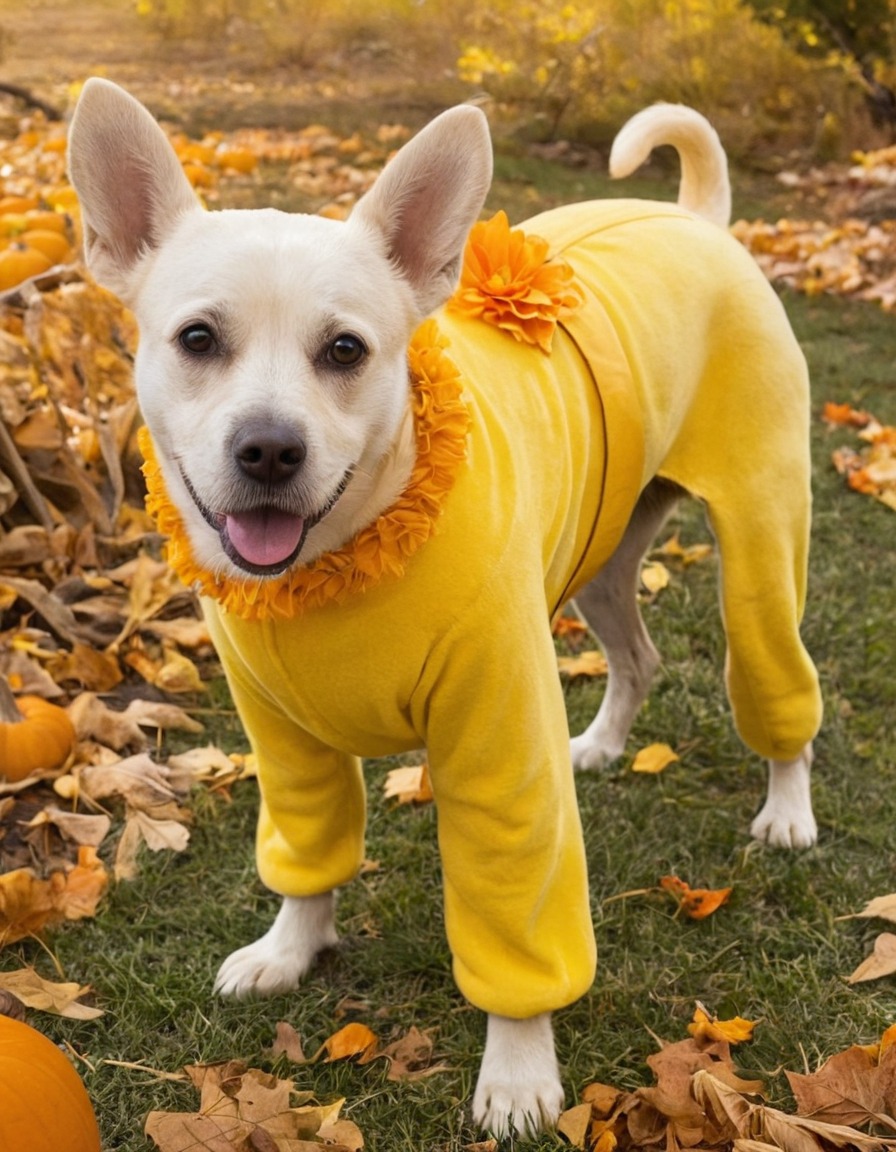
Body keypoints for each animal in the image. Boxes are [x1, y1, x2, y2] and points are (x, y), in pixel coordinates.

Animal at [67, 81, 824, 1133]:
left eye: (345, 349)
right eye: (197, 340)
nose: (269, 449)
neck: (339, 561)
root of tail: (694, 219)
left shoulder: (502, 750)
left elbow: (515, 928)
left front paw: (517, 1073)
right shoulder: (284, 744)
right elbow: (309, 856)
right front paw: (290, 950)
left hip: (759, 534)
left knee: (770, 677)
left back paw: (787, 808)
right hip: (601, 558)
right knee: (639, 659)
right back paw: (601, 744)